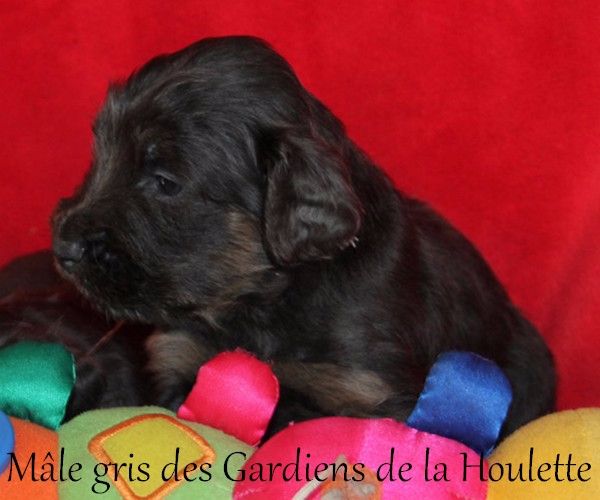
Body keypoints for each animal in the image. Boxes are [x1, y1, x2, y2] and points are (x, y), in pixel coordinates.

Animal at [52, 36, 555, 436]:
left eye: (165, 182)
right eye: (102, 153)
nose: (63, 245)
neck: (263, 302)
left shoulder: (363, 388)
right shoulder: (180, 356)